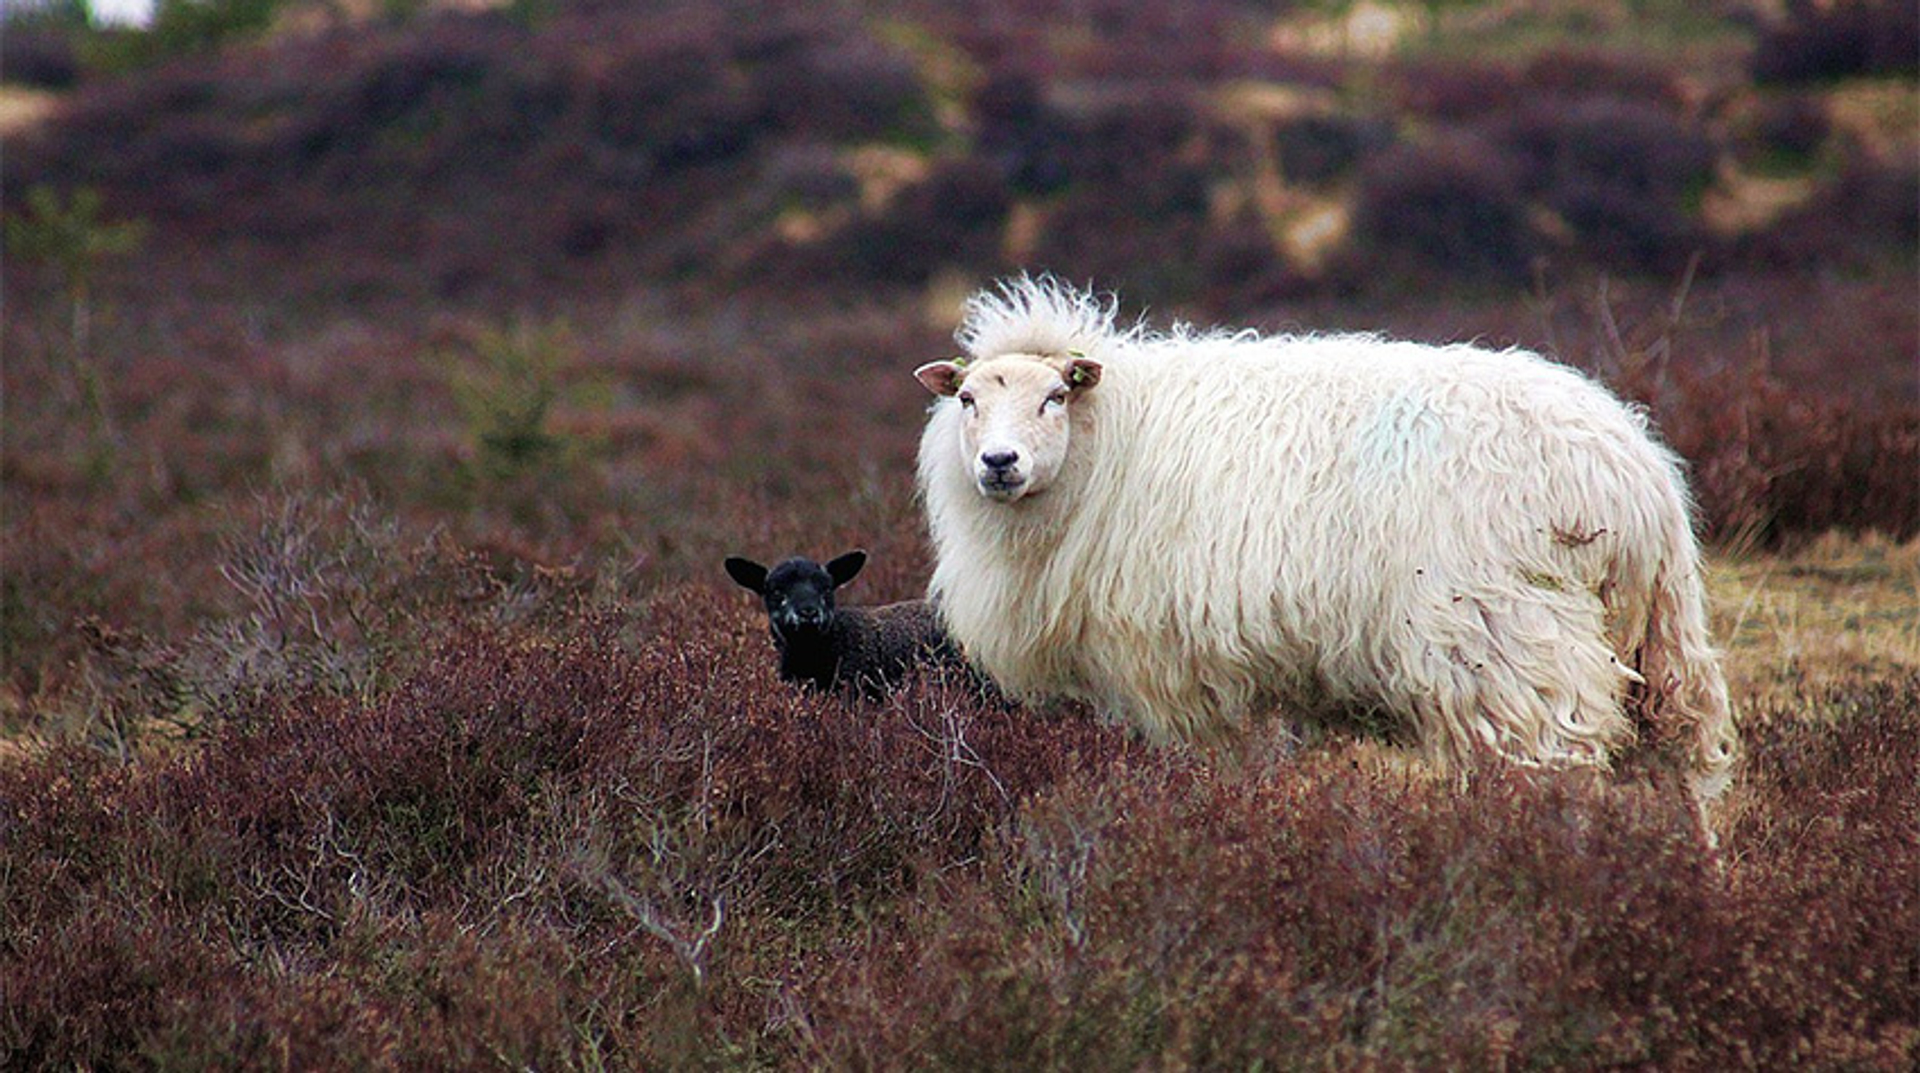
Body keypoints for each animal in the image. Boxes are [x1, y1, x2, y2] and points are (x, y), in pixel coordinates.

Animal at [913, 274, 1743, 806]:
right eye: (967, 399)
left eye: (1055, 396)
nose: (999, 463)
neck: (1114, 435)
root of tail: (1624, 471)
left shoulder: (1191, 672)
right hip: (1660, 638)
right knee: (1678, 764)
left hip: (1511, 645)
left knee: (1555, 775)